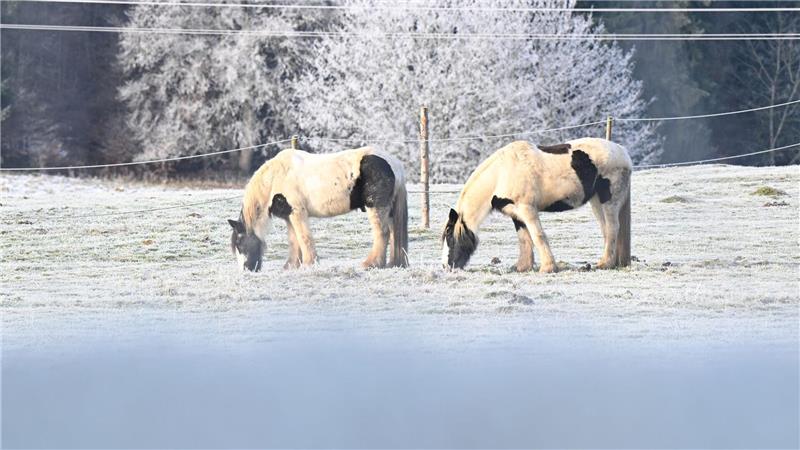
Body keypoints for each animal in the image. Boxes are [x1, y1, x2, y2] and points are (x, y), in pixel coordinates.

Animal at [227, 146, 409, 271]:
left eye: (239, 244)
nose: (246, 271)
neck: (275, 178)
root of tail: (394, 164)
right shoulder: (289, 215)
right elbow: (294, 240)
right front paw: (291, 266)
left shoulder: (297, 212)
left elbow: (304, 238)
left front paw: (309, 264)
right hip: (389, 210)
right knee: (393, 232)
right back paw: (393, 264)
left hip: (376, 207)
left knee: (382, 233)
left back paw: (371, 264)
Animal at [440, 138, 632, 272]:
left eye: (449, 235)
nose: (445, 266)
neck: (501, 174)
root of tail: (623, 153)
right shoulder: (516, 213)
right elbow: (524, 239)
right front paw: (522, 267)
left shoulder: (528, 209)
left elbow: (538, 236)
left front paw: (548, 268)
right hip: (596, 202)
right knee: (606, 229)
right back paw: (608, 262)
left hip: (609, 200)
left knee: (612, 228)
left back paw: (605, 264)